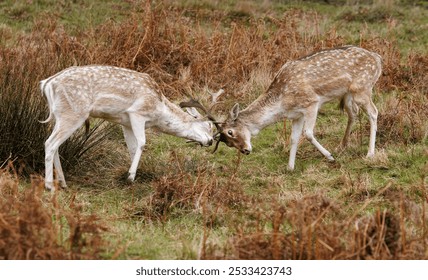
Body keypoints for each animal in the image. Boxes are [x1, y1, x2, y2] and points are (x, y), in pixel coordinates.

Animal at [39, 65, 214, 191]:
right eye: (208, 125)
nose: (211, 141)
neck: (159, 110)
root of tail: (47, 84)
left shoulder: (126, 123)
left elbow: (132, 147)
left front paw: (133, 175)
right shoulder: (137, 113)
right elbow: (142, 143)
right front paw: (130, 176)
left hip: (59, 115)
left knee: (55, 144)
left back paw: (62, 182)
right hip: (73, 114)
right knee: (50, 143)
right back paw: (49, 185)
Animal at [212, 45, 382, 171]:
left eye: (230, 132)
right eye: (227, 143)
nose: (245, 150)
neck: (282, 103)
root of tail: (378, 59)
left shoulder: (312, 102)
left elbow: (308, 133)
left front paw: (330, 156)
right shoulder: (296, 115)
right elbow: (294, 138)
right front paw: (290, 167)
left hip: (362, 88)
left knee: (374, 112)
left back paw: (370, 153)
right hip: (347, 94)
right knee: (353, 113)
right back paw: (342, 146)